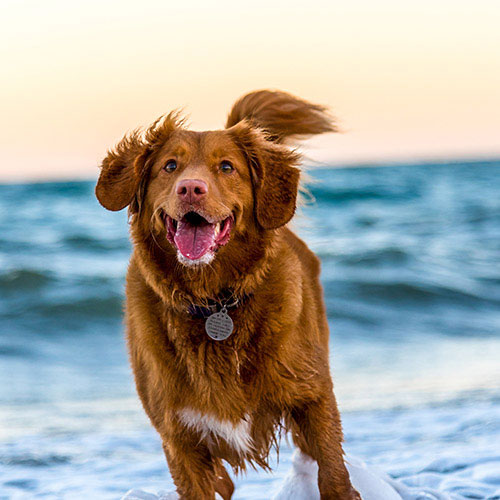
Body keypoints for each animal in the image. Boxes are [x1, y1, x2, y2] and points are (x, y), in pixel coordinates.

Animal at [94, 90, 360, 500]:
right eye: (170, 166)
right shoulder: (180, 436)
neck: (214, 302)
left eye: (226, 167)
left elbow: (333, 474)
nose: (191, 188)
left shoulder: (313, 397)